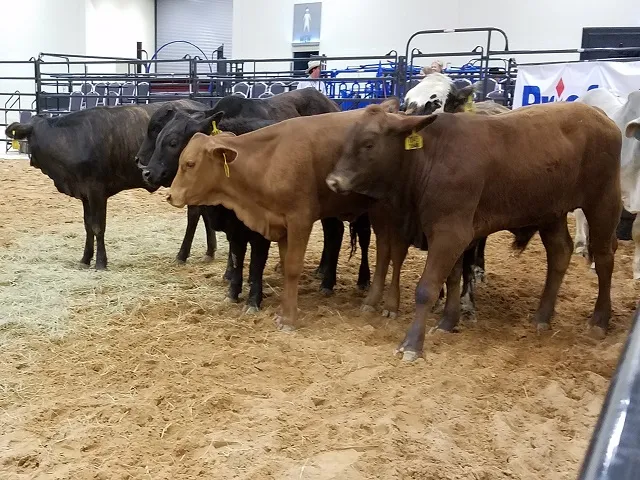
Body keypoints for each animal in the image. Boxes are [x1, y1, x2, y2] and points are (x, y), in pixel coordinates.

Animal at [136, 91, 371, 313]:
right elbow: (236, 255)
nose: (147, 172)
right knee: (334, 233)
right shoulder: (234, 225)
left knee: (355, 236)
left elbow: (256, 262)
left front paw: (253, 298)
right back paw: (322, 273)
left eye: (173, 142)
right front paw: (232, 285)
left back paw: (350, 281)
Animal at [325, 100, 622, 361]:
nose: (333, 181)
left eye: (369, 143)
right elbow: (453, 277)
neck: (430, 158)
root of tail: (597, 113)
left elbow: (428, 288)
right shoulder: (454, 235)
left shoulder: (449, 233)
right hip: (552, 212)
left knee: (604, 257)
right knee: (560, 252)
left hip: (603, 201)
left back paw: (599, 320)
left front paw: (412, 344)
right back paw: (542, 316)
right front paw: (448, 321)